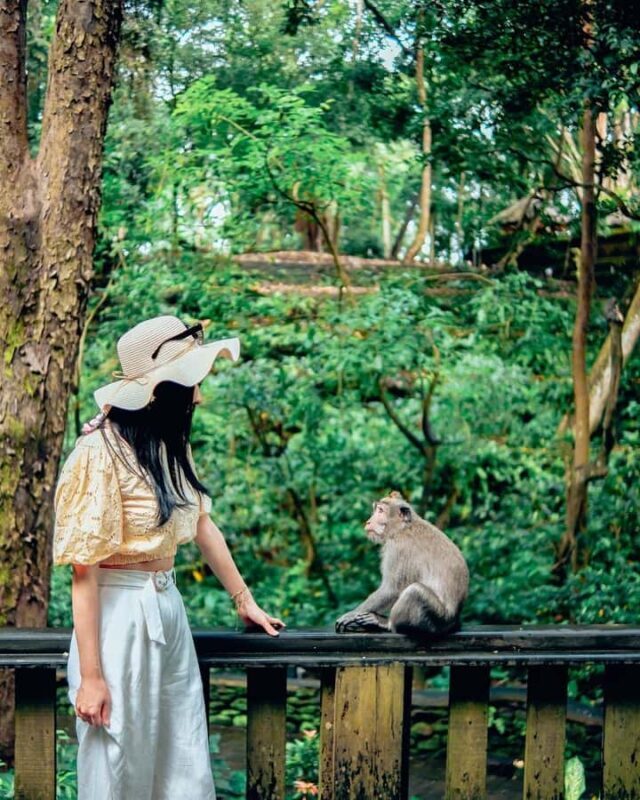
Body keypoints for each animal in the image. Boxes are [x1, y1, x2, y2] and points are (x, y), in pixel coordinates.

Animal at [335, 491, 469, 636]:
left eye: (381, 511)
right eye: (376, 510)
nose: (368, 521)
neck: (403, 528)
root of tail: (453, 620)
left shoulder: (397, 548)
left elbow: (390, 589)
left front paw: (351, 614)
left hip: (438, 618)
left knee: (414, 591)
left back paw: (385, 624)